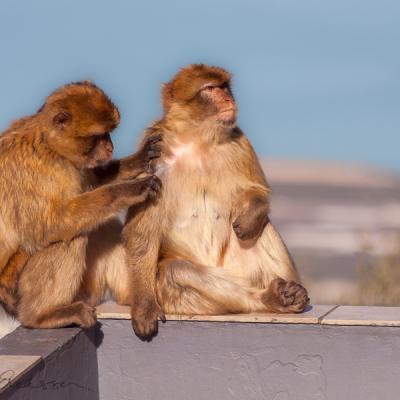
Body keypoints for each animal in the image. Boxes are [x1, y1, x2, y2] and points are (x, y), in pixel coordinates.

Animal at [0, 82, 162, 328]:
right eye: (99, 135)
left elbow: (91, 182)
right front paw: (131, 190)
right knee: (70, 237)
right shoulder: (38, 172)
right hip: (17, 287)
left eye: (108, 133)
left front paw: (139, 158)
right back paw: (41, 316)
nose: (110, 146)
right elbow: (49, 228)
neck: (50, 145)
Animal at [123, 64, 310, 340]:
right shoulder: (152, 155)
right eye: (211, 88)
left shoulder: (240, 142)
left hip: (242, 270)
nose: (229, 99)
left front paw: (251, 216)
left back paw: (287, 295)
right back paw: (268, 299)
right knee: (176, 271)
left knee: (261, 228)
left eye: (225, 87)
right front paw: (145, 307)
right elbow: (141, 234)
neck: (197, 140)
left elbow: (257, 190)